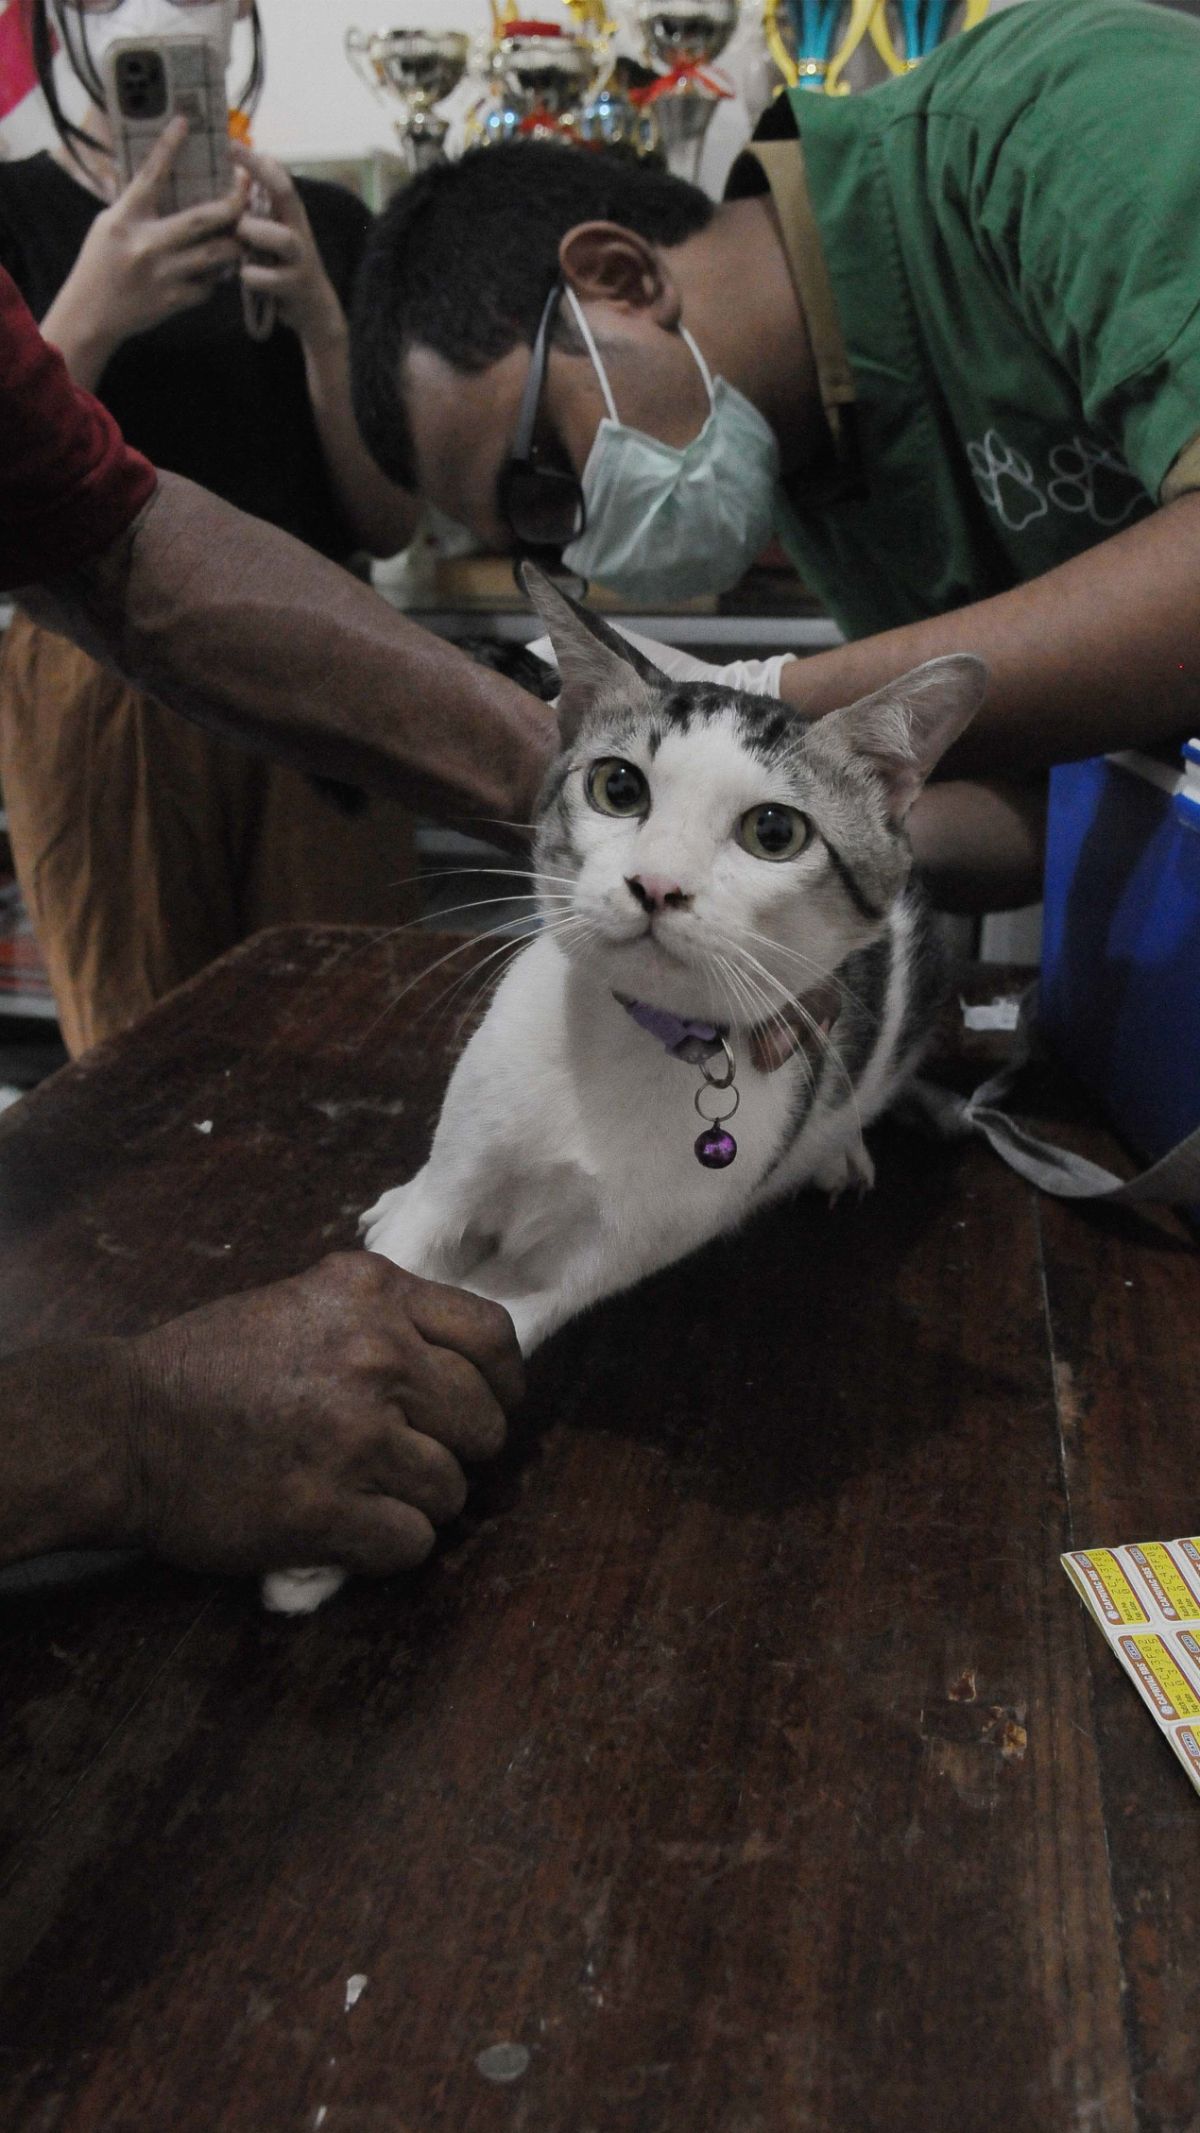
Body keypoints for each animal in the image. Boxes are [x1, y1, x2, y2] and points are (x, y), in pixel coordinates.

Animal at [263, 567, 984, 1612]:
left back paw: (840, 1147)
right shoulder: (469, 1166)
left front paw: (331, 1519)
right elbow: (401, 1270)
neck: (626, 1041)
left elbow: (501, 1313)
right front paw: (318, 1455)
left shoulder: (603, 1253)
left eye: (774, 831)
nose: (656, 884)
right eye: (618, 786)